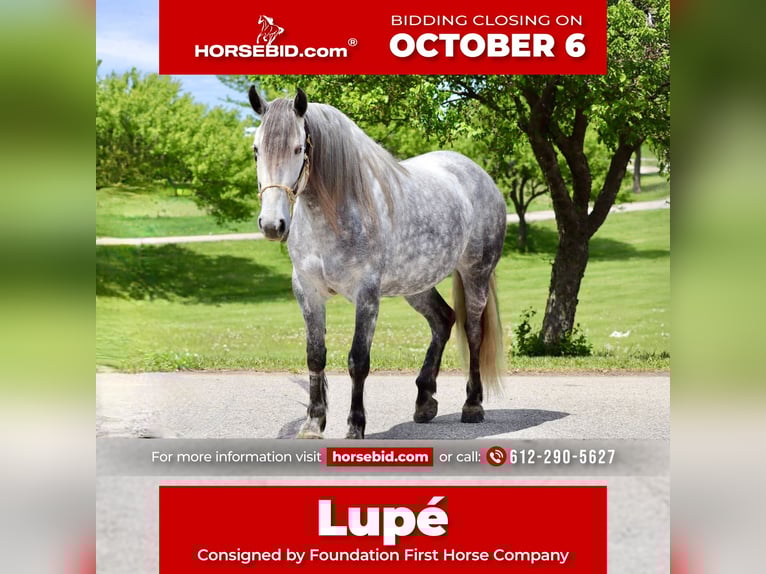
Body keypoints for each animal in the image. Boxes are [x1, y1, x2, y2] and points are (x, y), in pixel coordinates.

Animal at [248, 87, 507, 439]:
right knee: (443, 320)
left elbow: (358, 360)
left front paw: (355, 426)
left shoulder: (367, 295)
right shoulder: (307, 291)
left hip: (476, 274)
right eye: (256, 150)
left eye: (298, 148)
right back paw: (424, 401)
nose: (272, 225)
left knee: (472, 331)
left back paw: (473, 405)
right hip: (417, 284)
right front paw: (313, 423)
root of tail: (479, 175)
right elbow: (315, 357)